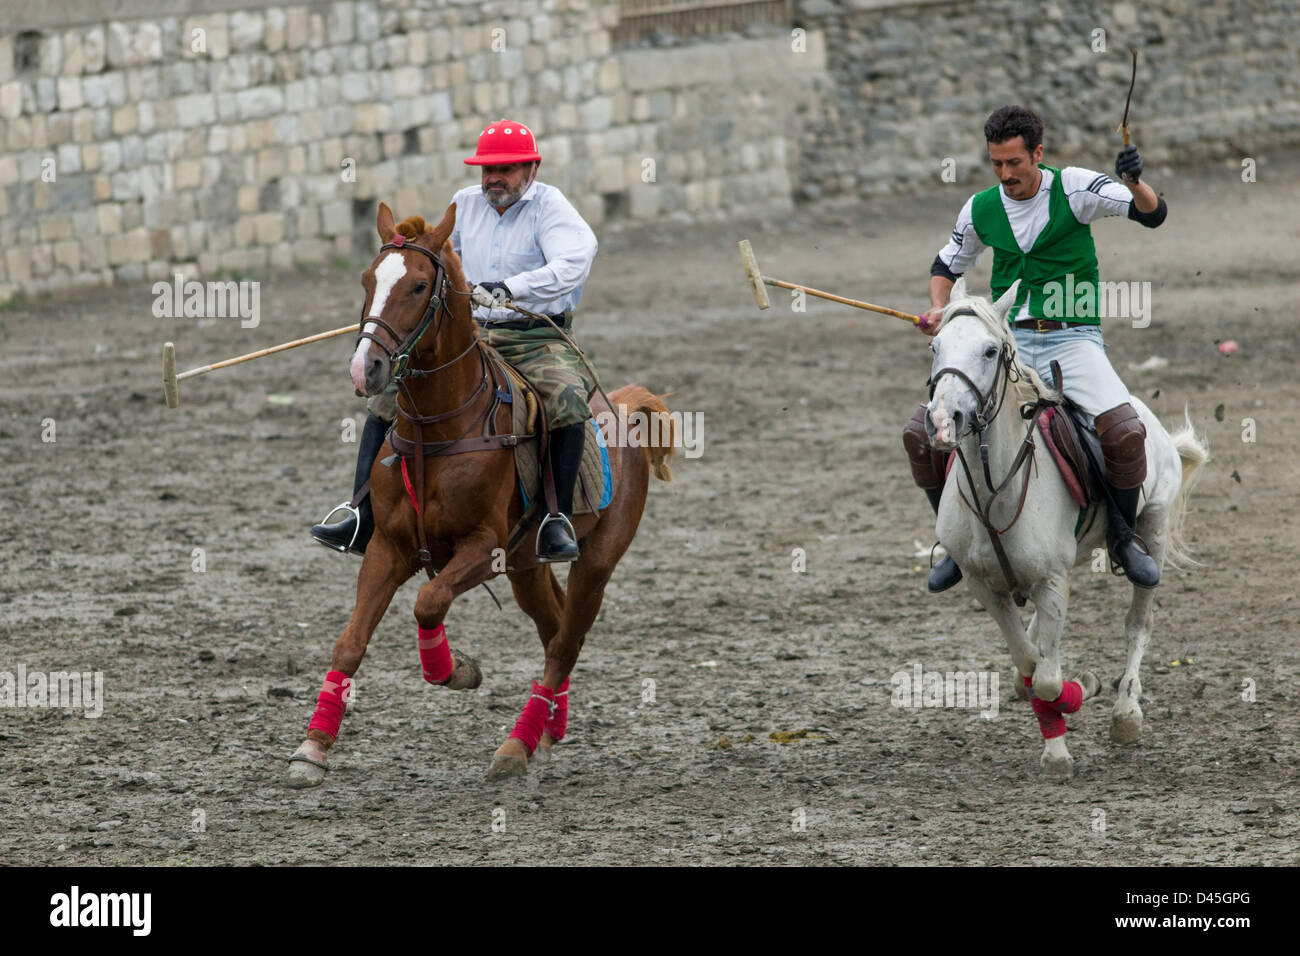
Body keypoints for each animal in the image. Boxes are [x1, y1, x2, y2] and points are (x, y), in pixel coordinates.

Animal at [289, 201, 676, 785]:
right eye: (367, 280)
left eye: (419, 285)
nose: (366, 369)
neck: (439, 430)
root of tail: (625, 404)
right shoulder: (387, 548)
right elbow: (350, 641)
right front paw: (313, 747)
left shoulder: (483, 547)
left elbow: (428, 601)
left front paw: (458, 672)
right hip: (527, 565)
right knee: (554, 627)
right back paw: (549, 728)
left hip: (596, 560)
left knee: (565, 643)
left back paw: (516, 746)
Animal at [925, 277, 1206, 780]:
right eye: (935, 346)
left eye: (990, 351)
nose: (941, 422)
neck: (995, 487)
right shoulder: (982, 585)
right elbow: (1027, 665)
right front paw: (1055, 731)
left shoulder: (1053, 582)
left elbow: (1050, 681)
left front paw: (1080, 698)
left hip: (1151, 531)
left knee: (1138, 622)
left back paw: (1125, 712)